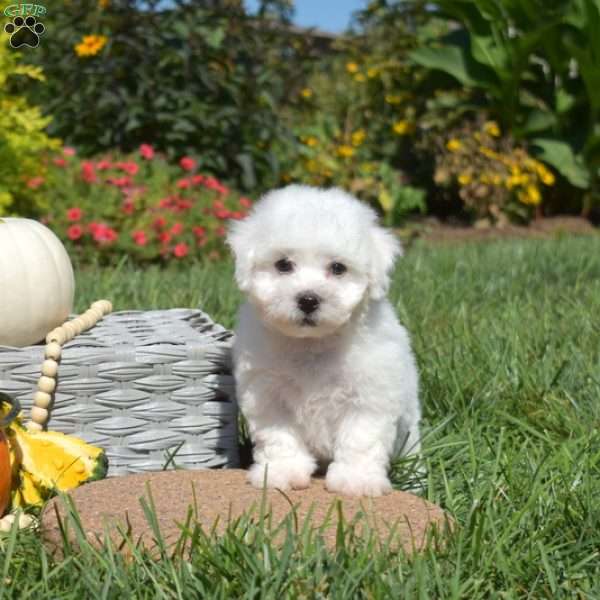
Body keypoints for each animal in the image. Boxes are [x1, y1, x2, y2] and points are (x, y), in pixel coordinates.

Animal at [227, 186, 420, 496]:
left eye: (338, 268)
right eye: (283, 265)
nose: (308, 299)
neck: (312, 344)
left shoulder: (369, 395)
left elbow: (360, 439)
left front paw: (356, 480)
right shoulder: (267, 394)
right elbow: (279, 436)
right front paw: (282, 471)